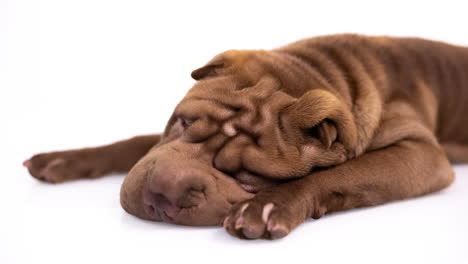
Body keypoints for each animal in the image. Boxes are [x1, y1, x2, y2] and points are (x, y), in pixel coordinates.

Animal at [23, 34, 466, 239]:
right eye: (182, 123)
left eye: (251, 175)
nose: (165, 190)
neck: (327, 72)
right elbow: (135, 142)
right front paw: (63, 159)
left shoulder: (422, 153)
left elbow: (338, 174)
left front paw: (268, 207)